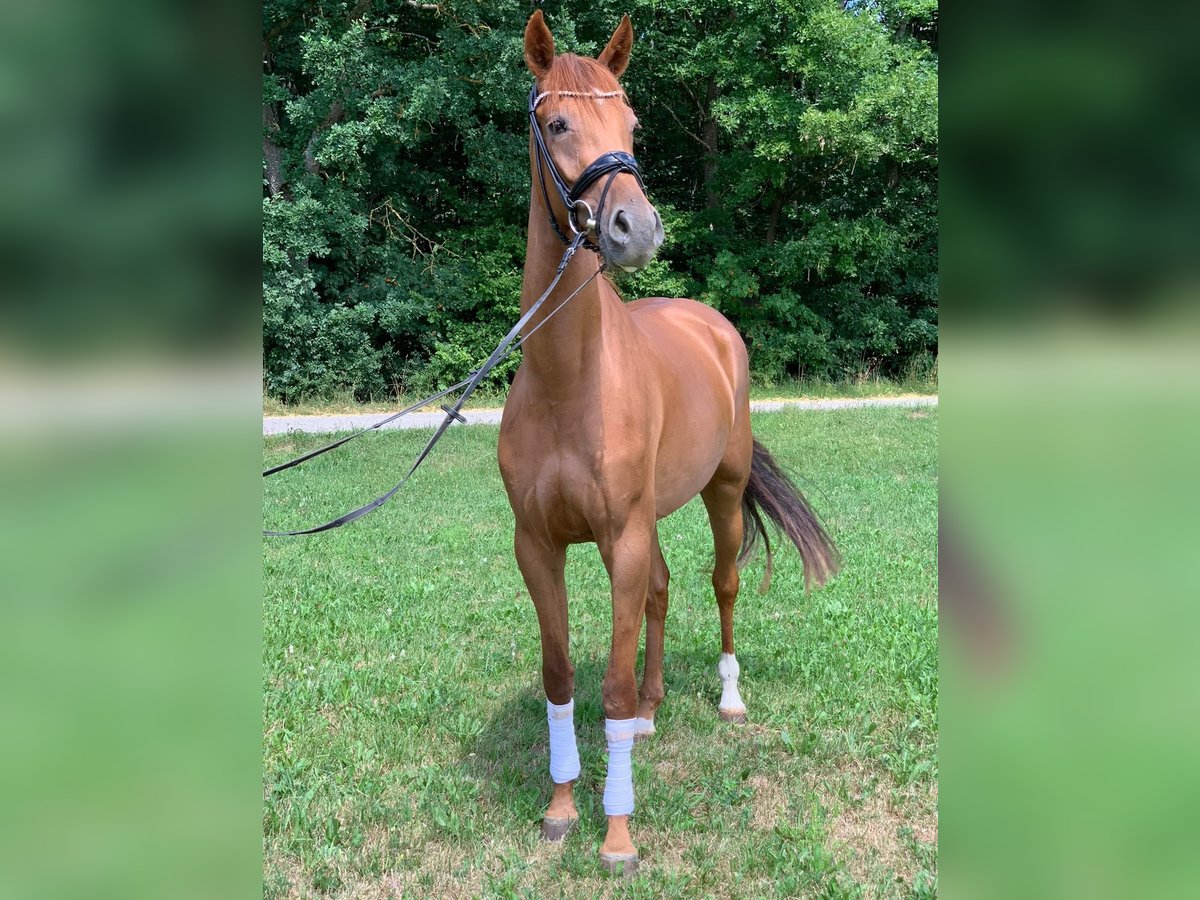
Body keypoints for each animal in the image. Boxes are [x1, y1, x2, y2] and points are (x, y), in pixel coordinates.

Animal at [496, 11, 839, 874]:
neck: (569, 379)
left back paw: (728, 698)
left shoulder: (619, 534)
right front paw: (560, 809)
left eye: (633, 126)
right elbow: (560, 677)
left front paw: (617, 832)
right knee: (659, 591)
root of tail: (710, 322)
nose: (637, 228)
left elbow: (610, 688)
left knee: (721, 584)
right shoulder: (538, 545)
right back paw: (655, 709)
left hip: (722, 492)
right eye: (557, 123)